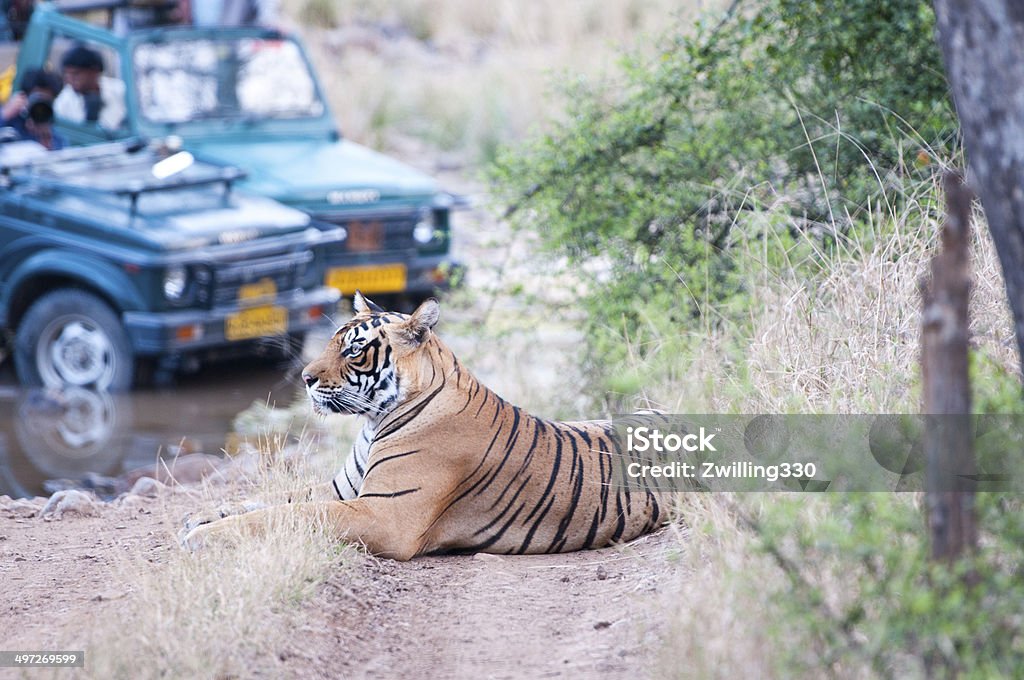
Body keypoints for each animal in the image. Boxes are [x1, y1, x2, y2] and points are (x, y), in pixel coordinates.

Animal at [181, 292, 667, 557]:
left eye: (353, 350)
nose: (305, 377)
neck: (373, 420)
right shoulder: (343, 490)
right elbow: (267, 500)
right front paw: (200, 516)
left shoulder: (382, 514)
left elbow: (288, 513)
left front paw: (203, 535)